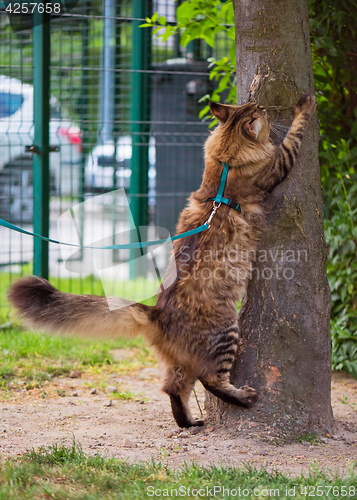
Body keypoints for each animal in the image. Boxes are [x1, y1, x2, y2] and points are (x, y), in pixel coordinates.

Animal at [7, 94, 314, 430]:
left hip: (180, 362)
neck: (224, 163)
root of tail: (156, 312)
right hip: (226, 332)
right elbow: (294, 136)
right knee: (210, 381)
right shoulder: (277, 164)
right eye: (261, 113)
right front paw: (306, 105)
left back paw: (189, 421)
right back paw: (243, 398)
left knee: (173, 388)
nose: (264, 107)